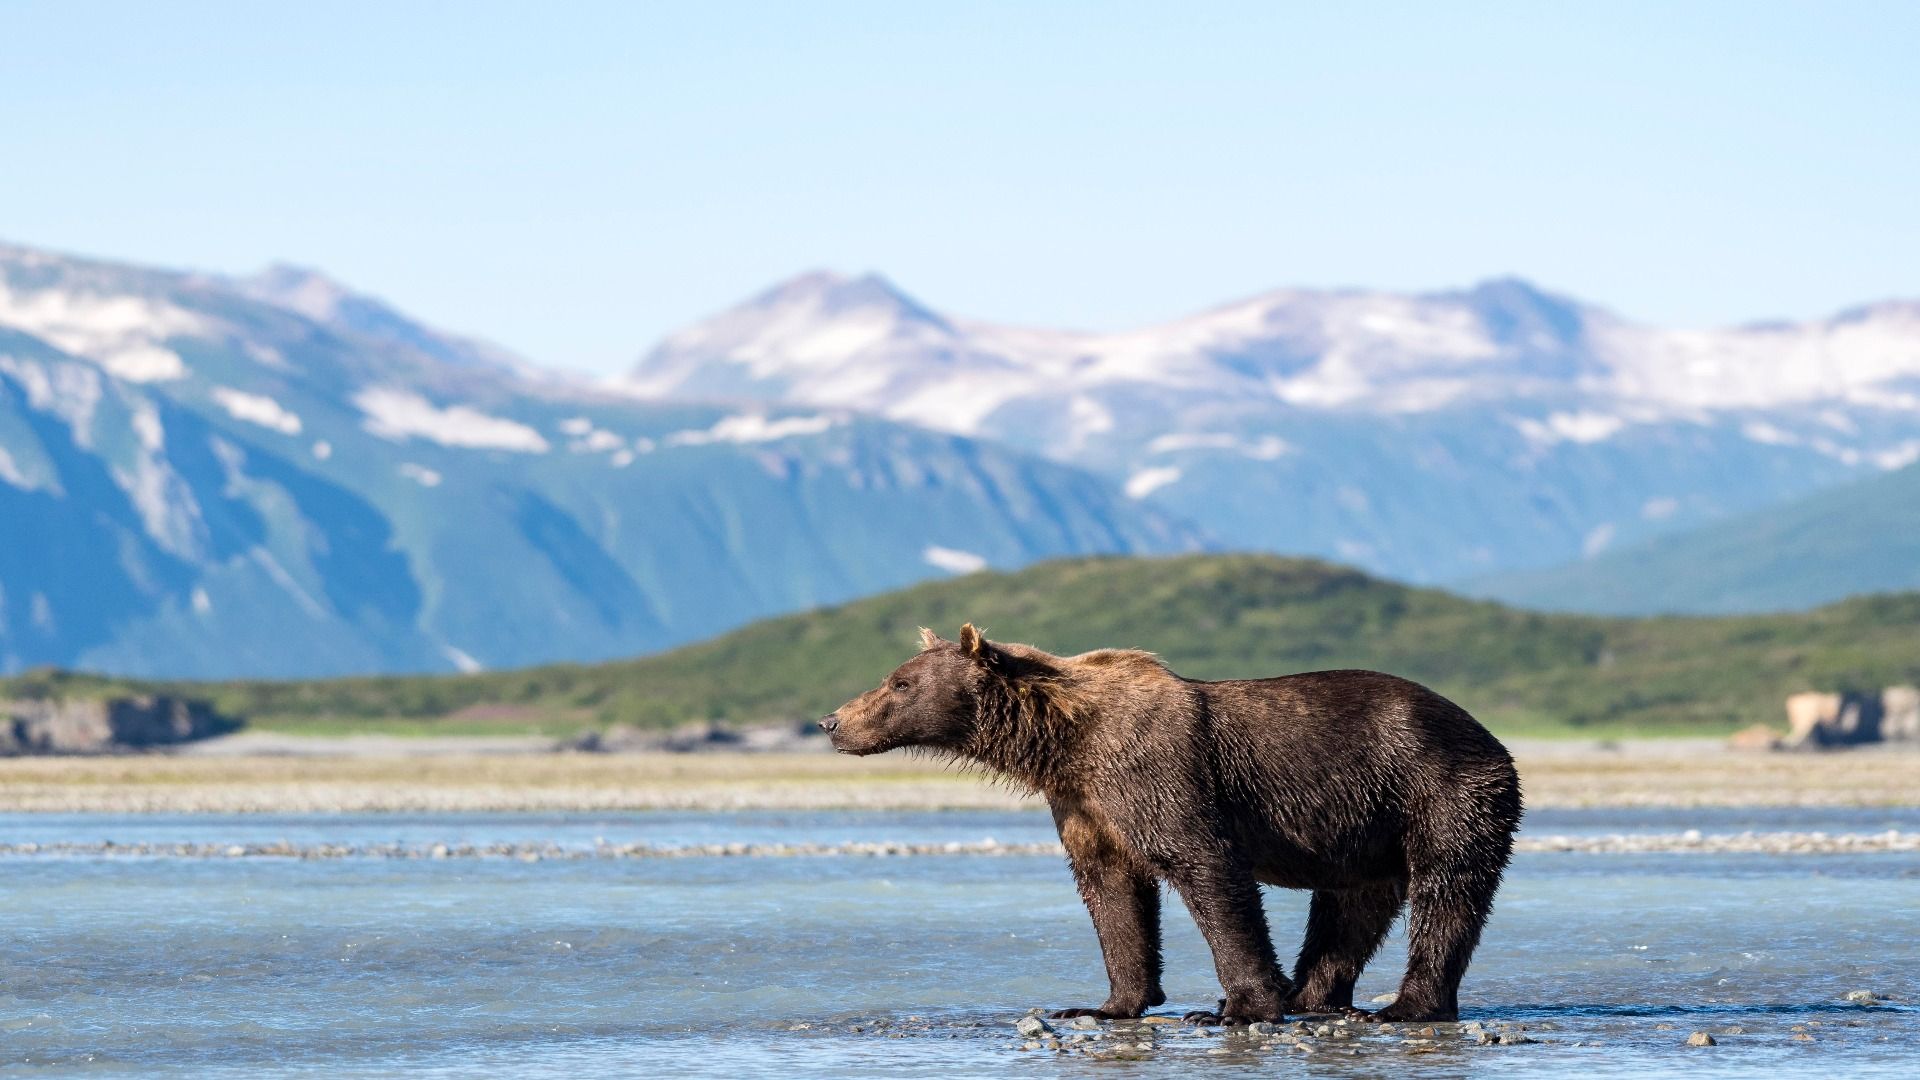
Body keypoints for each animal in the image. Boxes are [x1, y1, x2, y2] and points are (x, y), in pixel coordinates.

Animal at [817, 622, 1520, 1014]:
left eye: (900, 683)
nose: (832, 721)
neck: (1063, 741)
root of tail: (1490, 735)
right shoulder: (1087, 802)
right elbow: (1112, 893)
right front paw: (1109, 1003)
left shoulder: (1153, 771)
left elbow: (1204, 865)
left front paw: (1241, 1006)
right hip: (1366, 828)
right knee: (1351, 909)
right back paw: (1314, 997)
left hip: (1440, 788)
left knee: (1446, 891)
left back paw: (1407, 1006)